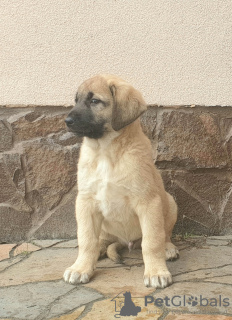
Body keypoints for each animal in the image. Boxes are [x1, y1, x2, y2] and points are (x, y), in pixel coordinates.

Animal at [62, 74, 179, 288]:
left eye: (94, 101)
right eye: (76, 100)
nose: (67, 121)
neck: (106, 152)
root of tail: (126, 242)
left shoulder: (148, 202)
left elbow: (152, 241)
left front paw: (156, 272)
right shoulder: (85, 202)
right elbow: (87, 239)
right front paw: (80, 268)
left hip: (170, 202)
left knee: (164, 234)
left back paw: (168, 248)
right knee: (100, 240)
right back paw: (99, 250)